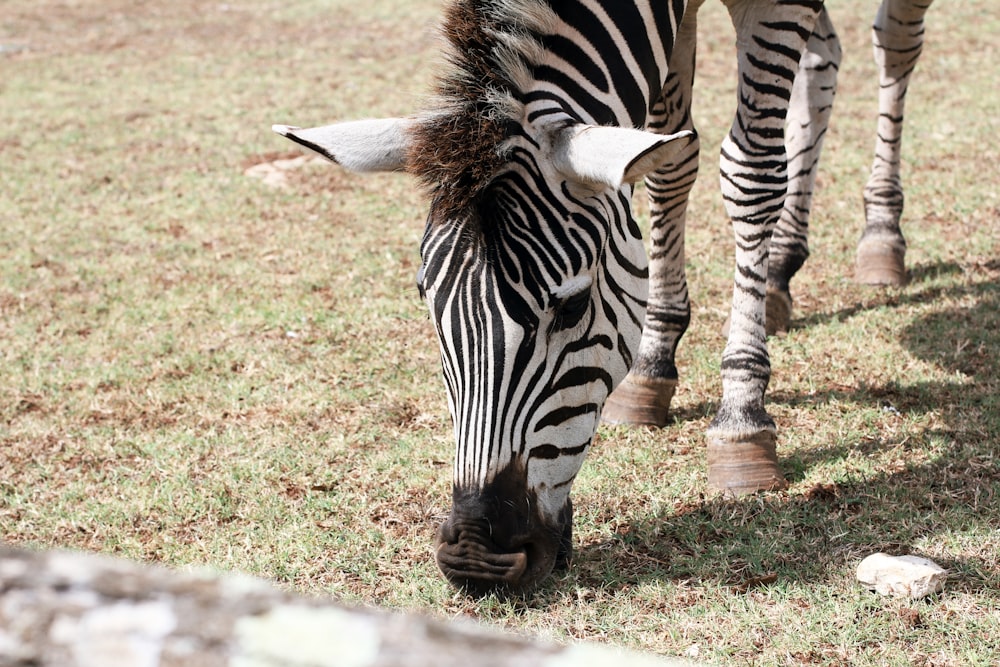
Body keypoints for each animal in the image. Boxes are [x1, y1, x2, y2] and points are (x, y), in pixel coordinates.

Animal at [272, 0, 928, 596]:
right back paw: (780, 272)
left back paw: (880, 238)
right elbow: (669, 161)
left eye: (570, 306)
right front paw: (654, 363)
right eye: (425, 300)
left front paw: (742, 417)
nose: (474, 559)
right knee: (824, 60)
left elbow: (750, 173)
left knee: (894, 44)